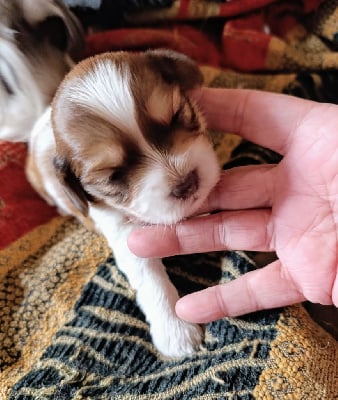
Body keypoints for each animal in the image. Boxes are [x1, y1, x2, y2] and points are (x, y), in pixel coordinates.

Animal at [27, 48, 220, 358]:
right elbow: (151, 280)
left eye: (177, 115)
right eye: (114, 175)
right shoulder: (122, 233)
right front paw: (175, 330)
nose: (186, 183)